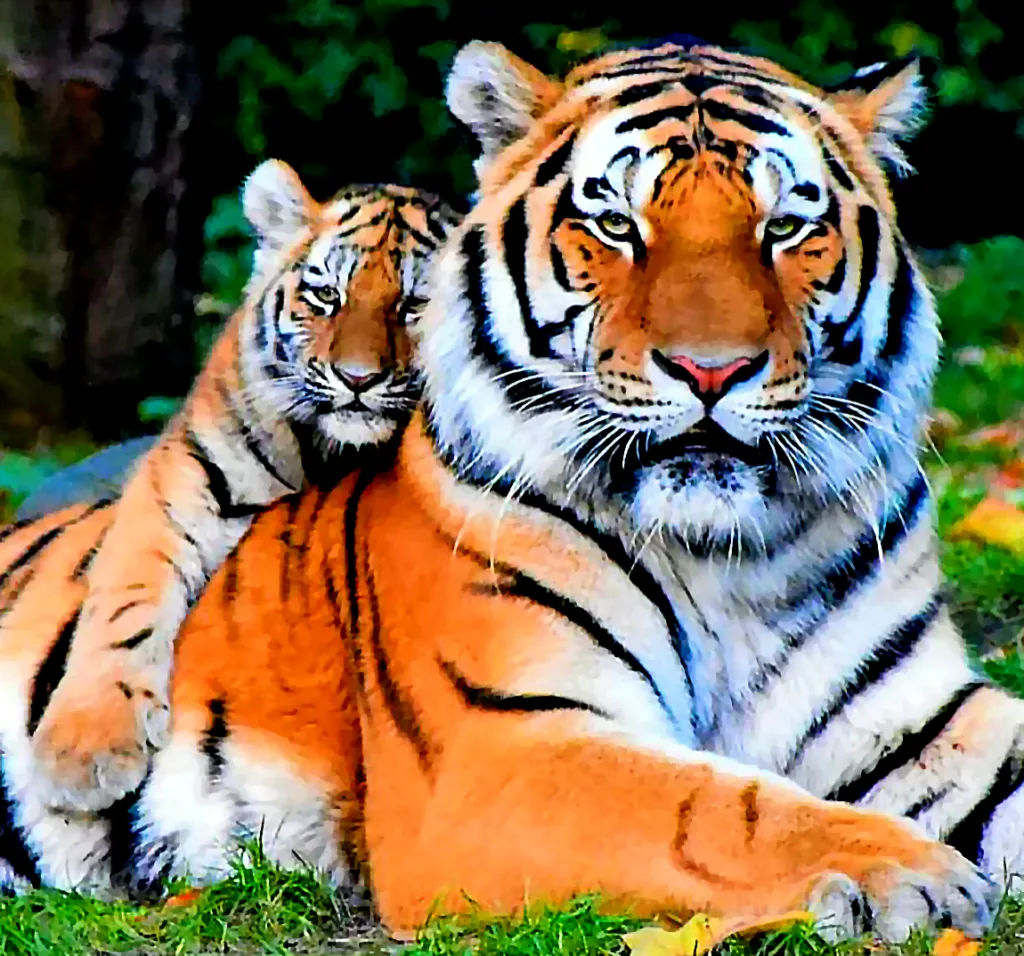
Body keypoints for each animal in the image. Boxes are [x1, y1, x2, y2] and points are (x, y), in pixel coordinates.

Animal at [18, 158, 461, 813]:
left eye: (414, 304)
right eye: (327, 295)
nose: (358, 379)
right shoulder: (183, 476)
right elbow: (126, 595)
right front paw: (85, 750)